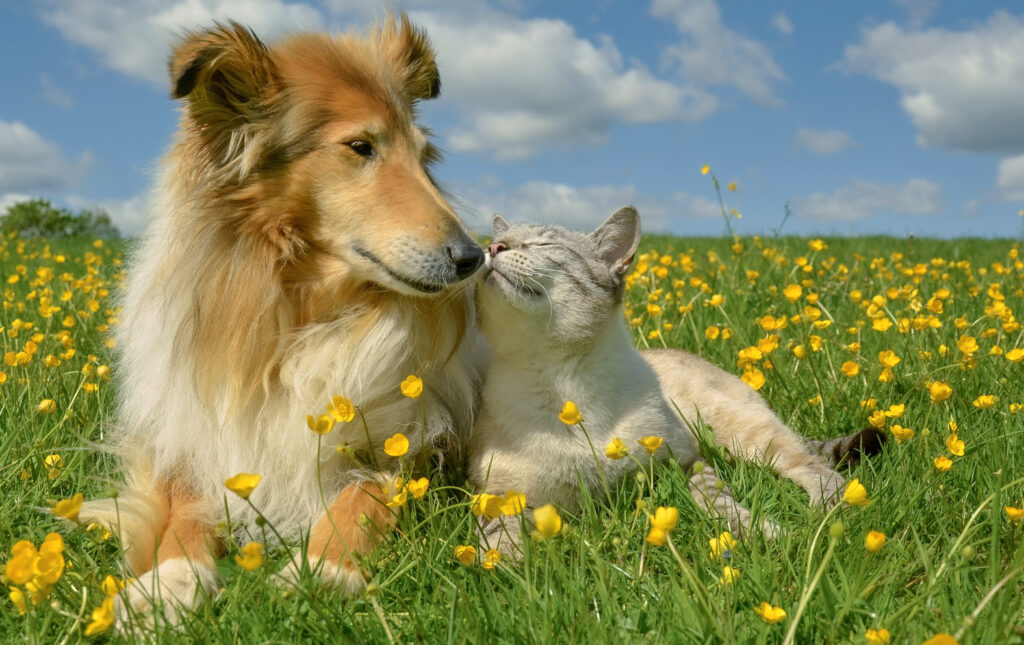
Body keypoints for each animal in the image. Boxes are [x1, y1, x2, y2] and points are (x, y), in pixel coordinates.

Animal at [75, 12, 483, 622]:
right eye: (360, 146)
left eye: (424, 156)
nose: (474, 259)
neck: (298, 317)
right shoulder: (196, 440)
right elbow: (184, 517)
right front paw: (168, 585)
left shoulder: (406, 448)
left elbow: (359, 500)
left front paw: (323, 572)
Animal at [468, 208, 884, 556]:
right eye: (494, 242)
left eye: (543, 244)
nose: (491, 247)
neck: (563, 384)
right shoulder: (504, 494)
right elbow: (499, 539)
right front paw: (509, 566)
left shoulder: (687, 462)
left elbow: (719, 504)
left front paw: (764, 535)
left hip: (743, 436)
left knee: (814, 467)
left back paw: (826, 513)